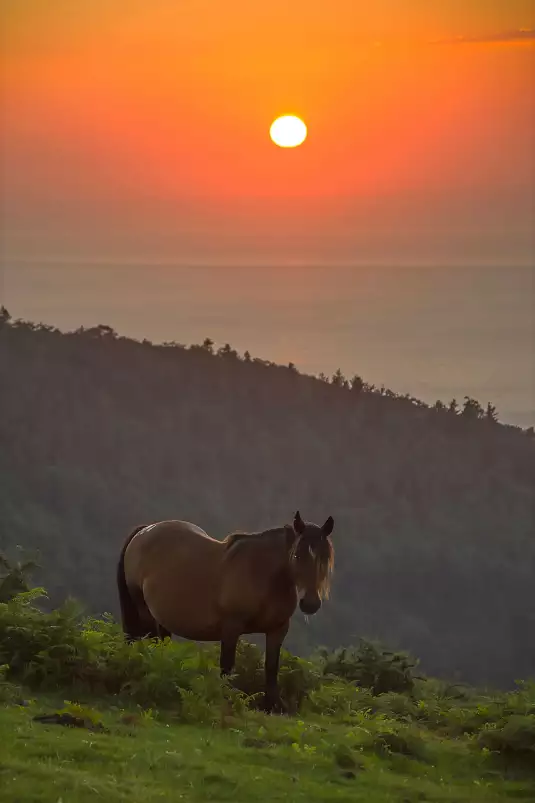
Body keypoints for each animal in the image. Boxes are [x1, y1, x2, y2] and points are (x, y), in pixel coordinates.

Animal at [117, 512, 336, 712]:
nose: (310, 603)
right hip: (144, 612)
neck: (263, 574)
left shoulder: (278, 629)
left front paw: (273, 706)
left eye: (325, 558)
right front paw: (226, 699)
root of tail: (145, 530)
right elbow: (227, 665)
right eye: (297, 555)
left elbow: (271, 667)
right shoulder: (231, 627)